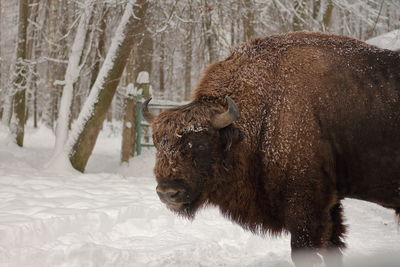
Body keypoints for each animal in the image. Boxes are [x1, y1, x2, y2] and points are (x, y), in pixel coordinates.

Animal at [142, 31, 398, 267]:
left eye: (202, 144)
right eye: (157, 142)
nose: (168, 193)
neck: (266, 110)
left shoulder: (306, 207)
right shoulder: (331, 205)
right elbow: (333, 246)